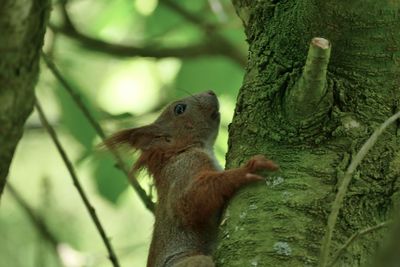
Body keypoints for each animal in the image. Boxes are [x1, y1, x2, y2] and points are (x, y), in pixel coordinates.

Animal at [103, 91, 278, 266]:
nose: (211, 92)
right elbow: (188, 201)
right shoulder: (184, 169)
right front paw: (246, 170)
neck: (178, 152)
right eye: (179, 109)